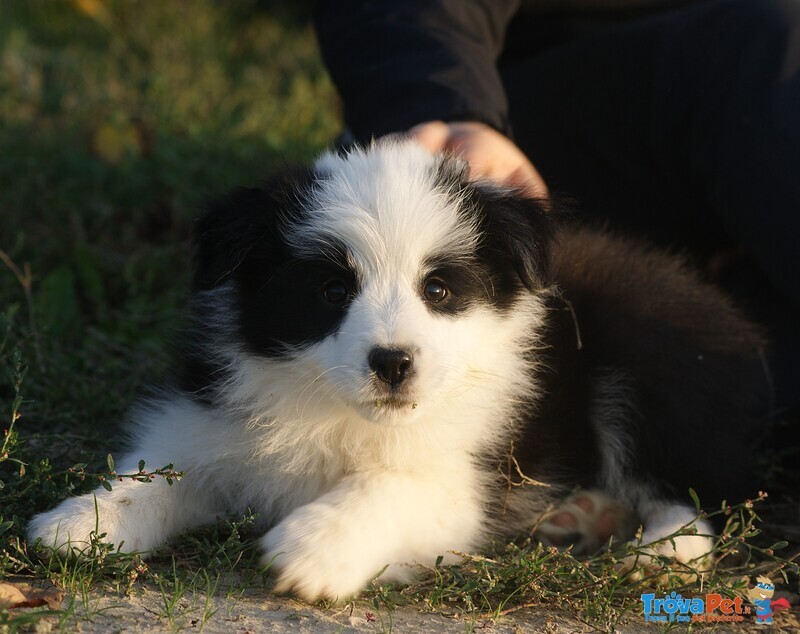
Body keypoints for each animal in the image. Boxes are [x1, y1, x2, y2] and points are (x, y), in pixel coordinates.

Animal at [29, 141, 768, 600]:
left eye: (438, 289)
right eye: (332, 290)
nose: (392, 363)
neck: (338, 412)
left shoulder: (464, 479)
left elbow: (392, 487)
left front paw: (313, 548)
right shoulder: (214, 417)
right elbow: (164, 472)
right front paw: (82, 523)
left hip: (655, 368)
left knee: (697, 490)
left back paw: (659, 554)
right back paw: (584, 516)